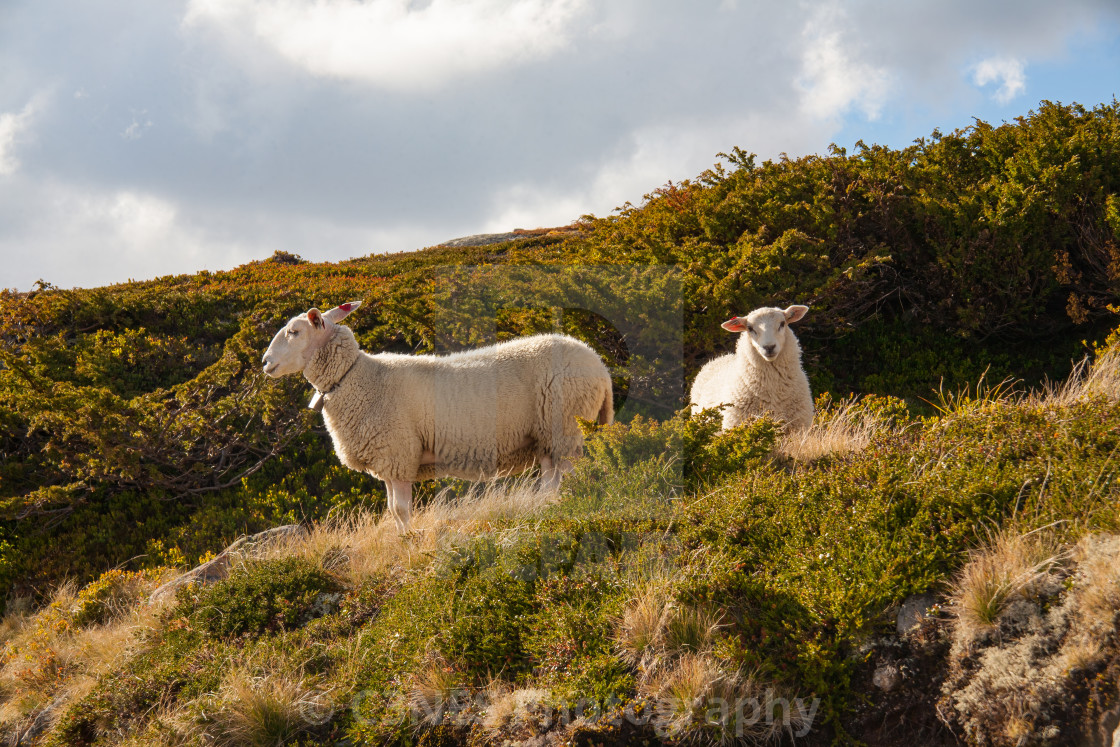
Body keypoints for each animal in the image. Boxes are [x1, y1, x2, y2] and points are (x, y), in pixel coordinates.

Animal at [259, 300, 613, 535]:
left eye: (294, 331)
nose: (265, 362)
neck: (357, 377)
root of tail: (599, 365)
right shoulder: (390, 460)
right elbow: (393, 510)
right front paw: (402, 538)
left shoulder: (397, 452)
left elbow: (401, 509)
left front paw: (410, 541)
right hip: (548, 435)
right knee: (552, 479)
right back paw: (546, 504)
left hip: (564, 424)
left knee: (571, 476)